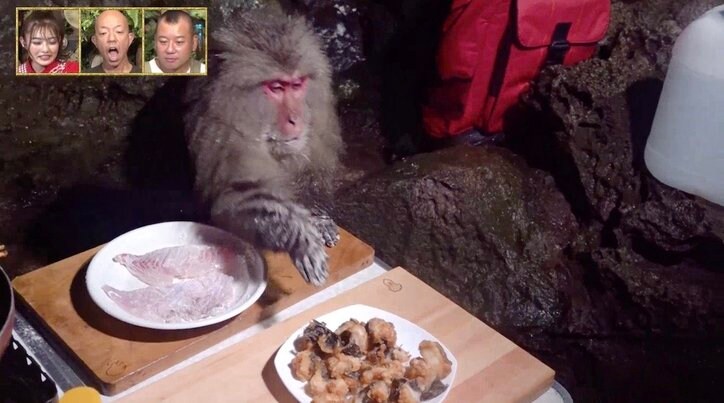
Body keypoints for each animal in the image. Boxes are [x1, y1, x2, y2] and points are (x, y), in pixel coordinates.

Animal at [183, 8, 344, 286]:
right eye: (276, 87)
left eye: (297, 84)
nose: (295, 119)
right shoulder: (224, 137)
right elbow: (233, 201)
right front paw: (299, 236)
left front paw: (318, 218)